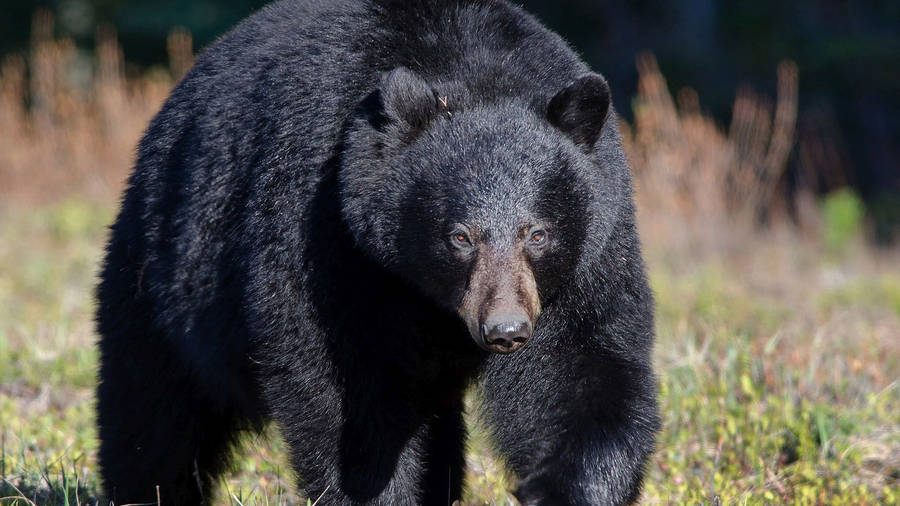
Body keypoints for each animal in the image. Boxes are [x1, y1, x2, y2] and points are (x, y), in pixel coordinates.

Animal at [94, 0, 660, 504]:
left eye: (536, 234)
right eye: (460, 236)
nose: (506, 330)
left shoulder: (589, 256)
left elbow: (580, 367)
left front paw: (570, 488)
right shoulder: (326, 230)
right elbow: (343, 391)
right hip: (165, 268)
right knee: (153, 405)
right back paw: (146, 489)